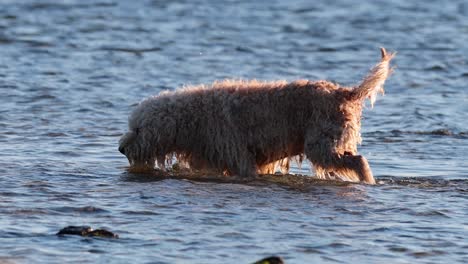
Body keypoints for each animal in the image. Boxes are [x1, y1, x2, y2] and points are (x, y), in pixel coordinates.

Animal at [119, 48, 394, 184]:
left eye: (138, 129)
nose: (121, 148)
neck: (191, 120)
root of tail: (345, 92)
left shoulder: (239, 156)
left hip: (321, 144)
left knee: (358, 161)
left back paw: (368, 181)